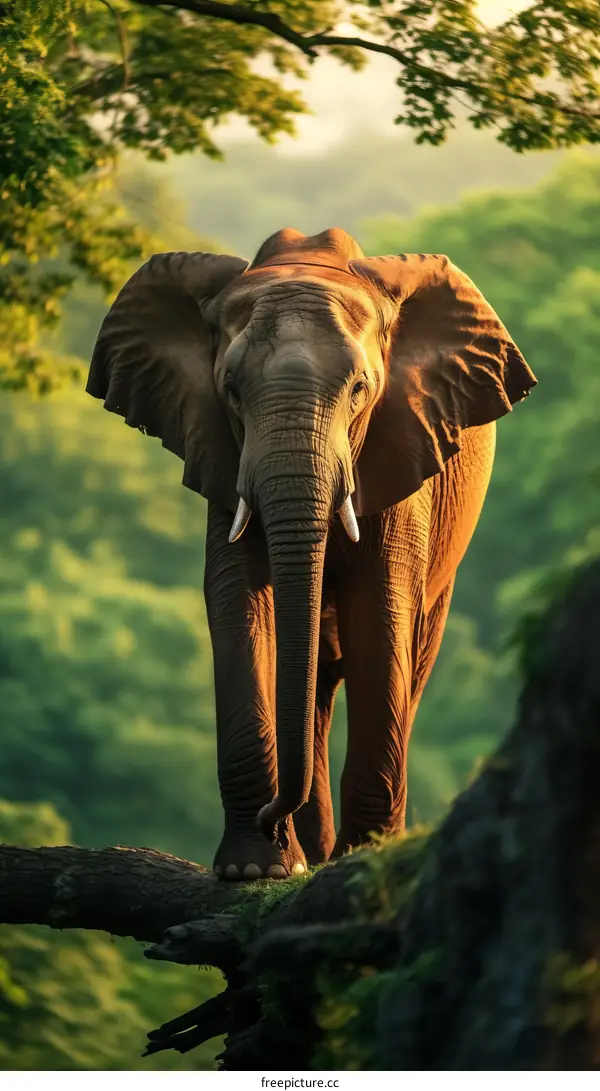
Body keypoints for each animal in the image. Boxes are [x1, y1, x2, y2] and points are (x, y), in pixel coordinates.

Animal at [86, 227, 536, 881]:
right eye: (230, 391)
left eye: (360, 391)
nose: (274, 816)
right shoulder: (223, 456)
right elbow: (236, 602)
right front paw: (256, 869)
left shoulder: (401, 445)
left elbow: (381, 610)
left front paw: (363, 859)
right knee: (315, 682)